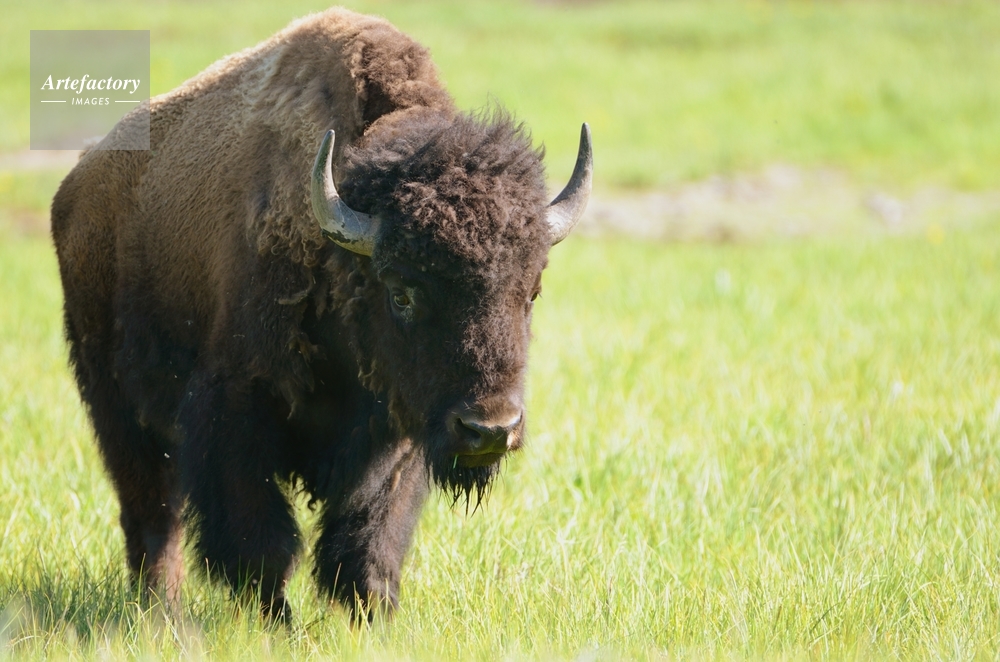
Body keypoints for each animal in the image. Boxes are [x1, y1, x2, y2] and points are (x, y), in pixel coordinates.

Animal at [51, 8, 591, 620]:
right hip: (114, 403)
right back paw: (160, 609)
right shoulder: (234, 411)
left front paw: (372, 617)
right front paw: (276, 622)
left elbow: (367, 541)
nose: (490, 429)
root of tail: (77, 187)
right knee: (150, 511)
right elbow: (261, 540)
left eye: (531, 292)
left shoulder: (400, 433)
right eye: (401, 293)